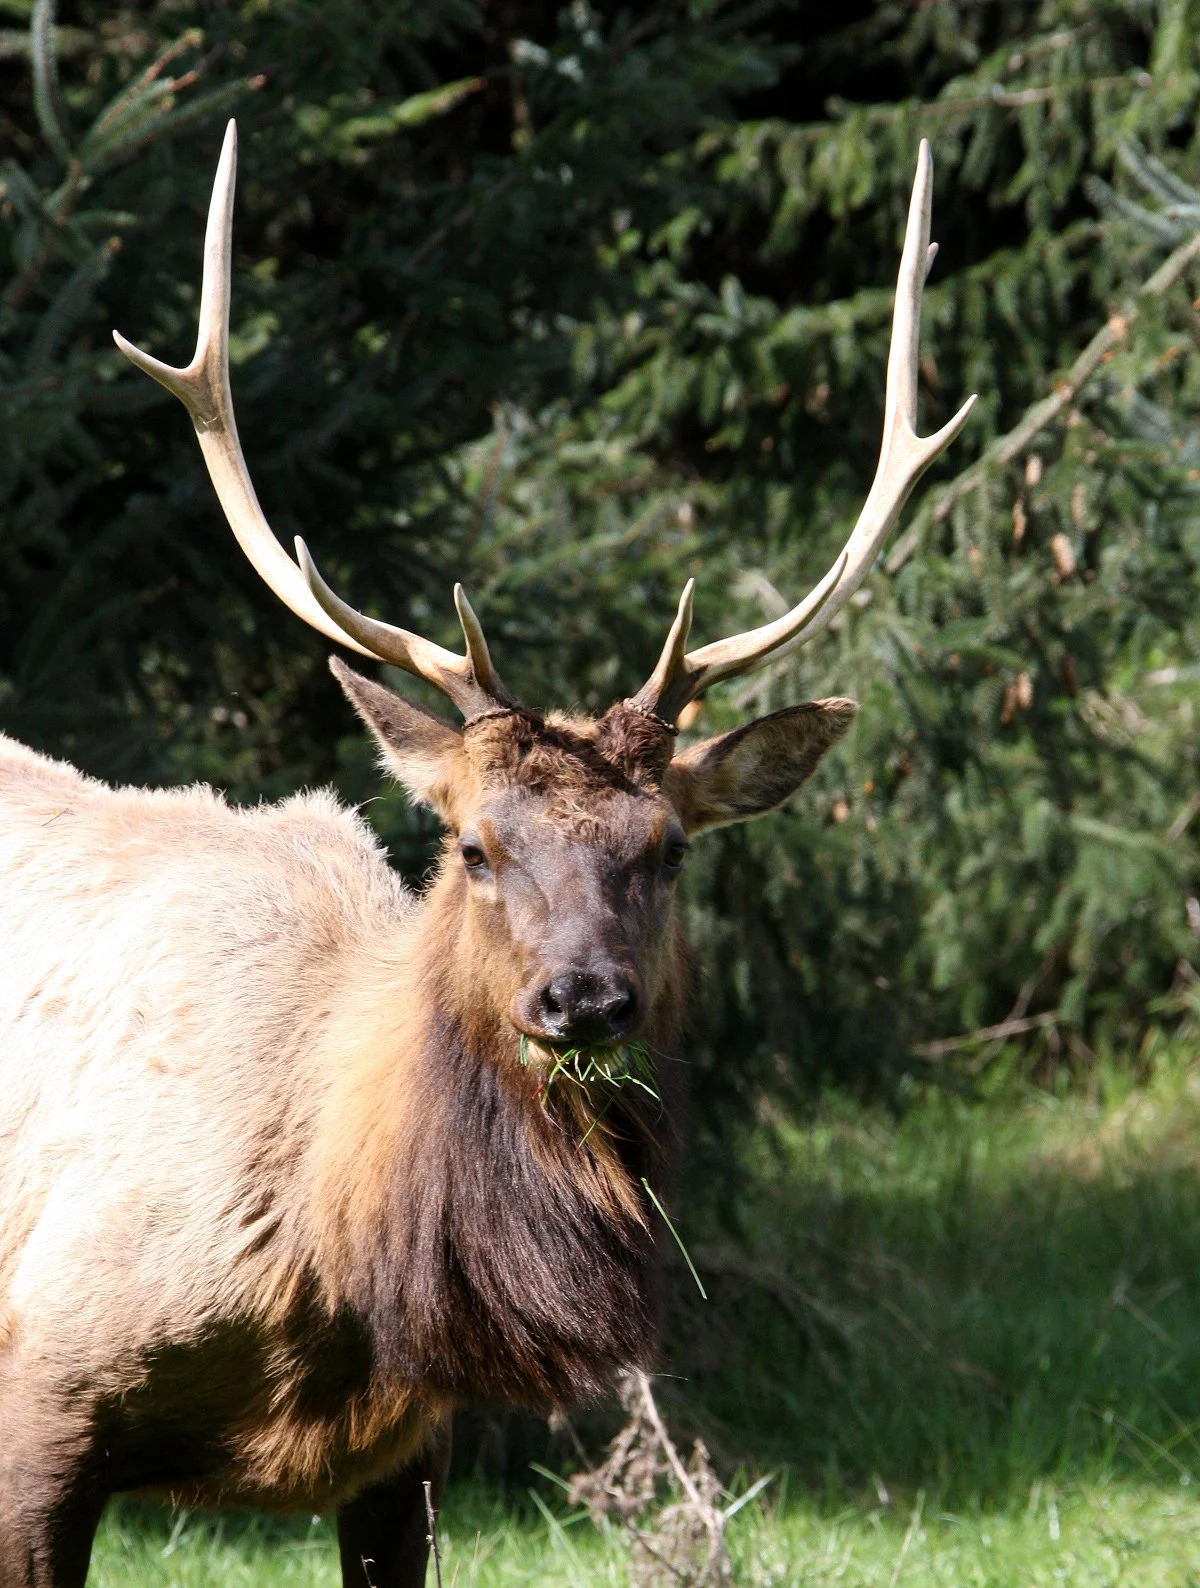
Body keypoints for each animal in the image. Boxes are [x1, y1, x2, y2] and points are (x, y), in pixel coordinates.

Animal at [0, 121, 973, 1588]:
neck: (332, 1265)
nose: (586, 999)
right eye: (471, 843)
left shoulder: (404, 1452)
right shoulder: (40, 1396)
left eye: (669, 848)